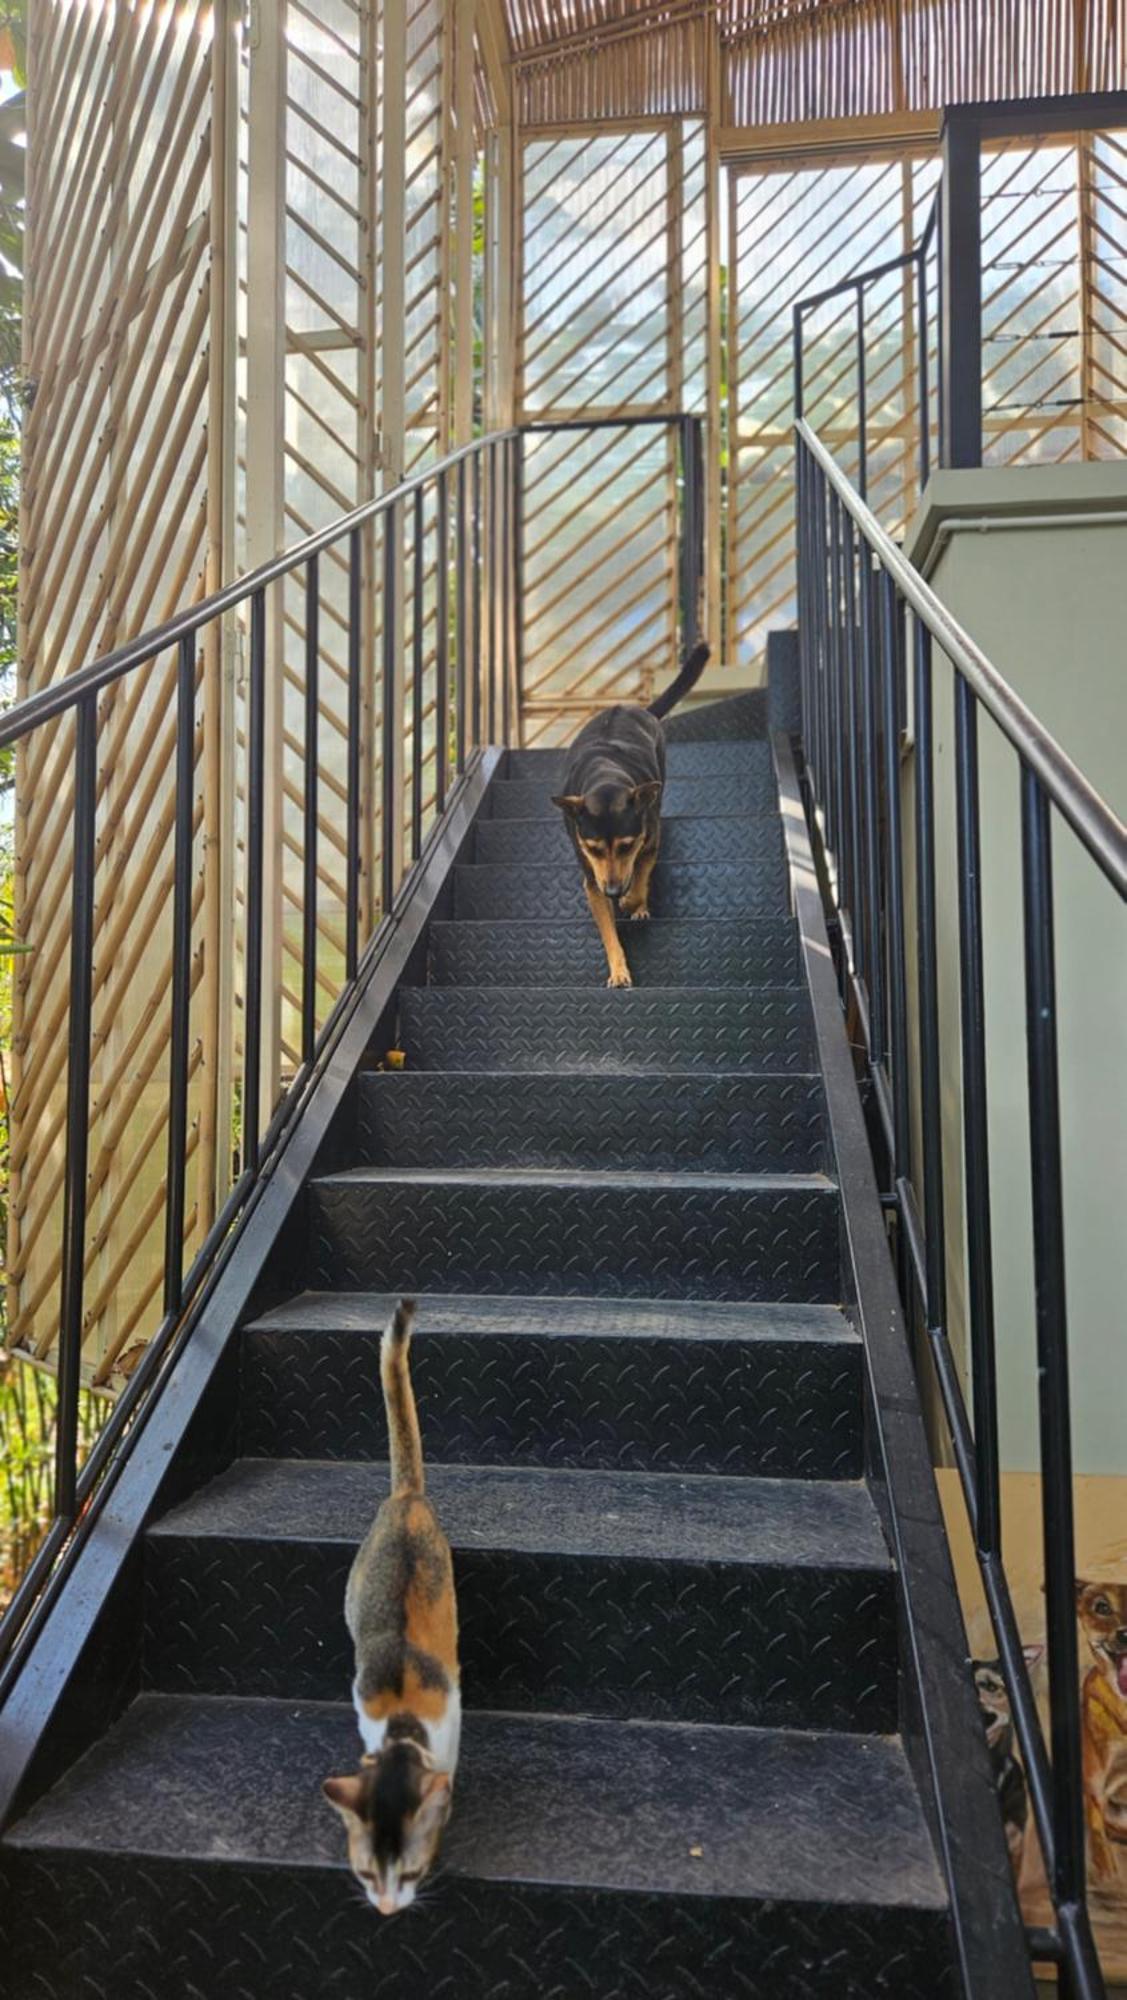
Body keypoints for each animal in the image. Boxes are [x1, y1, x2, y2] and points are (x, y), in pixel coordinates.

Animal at [551, 640, 707, 984]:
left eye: (626, 845)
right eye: (593, 848)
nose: (612, 890)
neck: (605, 776)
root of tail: (636, 708)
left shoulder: (647, 842)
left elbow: (640, 878)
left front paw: (632, 902)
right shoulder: (592, 878)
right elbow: (609, 931)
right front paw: (619, 970)